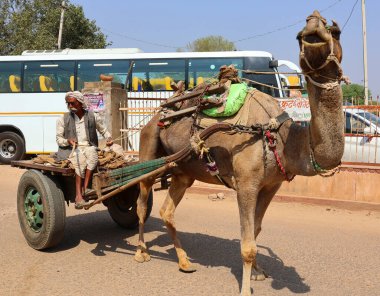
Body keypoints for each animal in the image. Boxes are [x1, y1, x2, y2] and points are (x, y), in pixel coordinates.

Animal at [134, 10, 344, 294]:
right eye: (300, 36)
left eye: (336, 32)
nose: (313, 23)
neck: (280, 137)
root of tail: (158, 115)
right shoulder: (246, 183)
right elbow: (247, 245)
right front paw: (246, 287)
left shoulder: (271, 185)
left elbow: (256, 229)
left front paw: (257, 273)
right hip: (148, 151)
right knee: (141, 202)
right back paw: (141, 252)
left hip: (182, 172)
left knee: (167, 210)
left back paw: (184, 261)